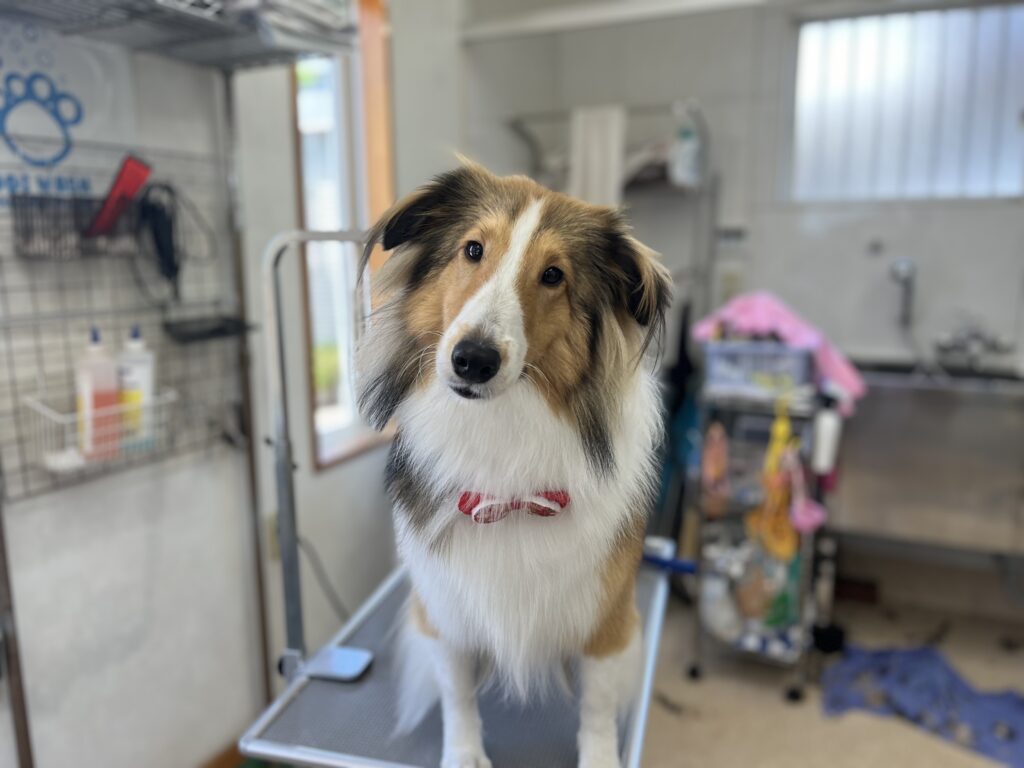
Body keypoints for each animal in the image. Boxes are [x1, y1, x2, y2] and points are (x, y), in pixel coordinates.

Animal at [357, 161, 671, 768]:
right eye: (473, 249)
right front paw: (464, 754)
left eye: (553, 275)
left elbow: (597, 708)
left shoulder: (607, 618)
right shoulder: (445, 611)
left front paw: (600, 757)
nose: (473, 360)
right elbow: (456, 694)